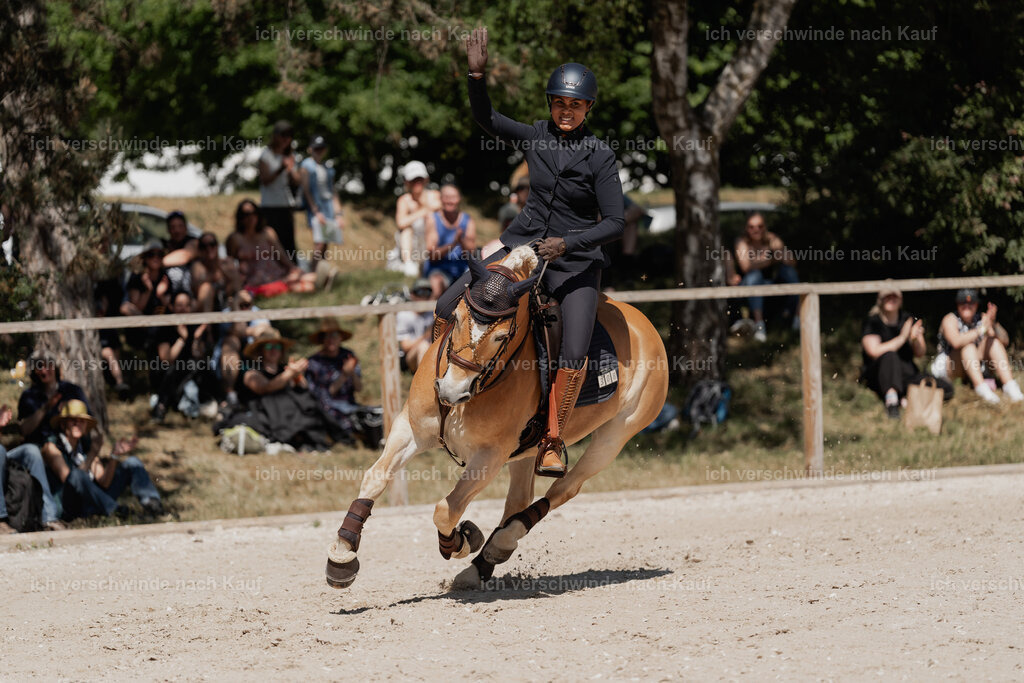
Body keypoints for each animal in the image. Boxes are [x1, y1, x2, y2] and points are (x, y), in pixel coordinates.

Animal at [326, 245, 668, 589]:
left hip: (613, 438)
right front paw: (342, 555)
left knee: (562, 490)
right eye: (456, 317)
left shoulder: (490, 456)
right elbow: (375, 477)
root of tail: (644, 324)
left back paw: (501, 542)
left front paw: (462, 540)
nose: (450, 391)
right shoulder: (410, 429)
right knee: (519, 499)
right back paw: (485, 561)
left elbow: (446, 510)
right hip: (527, 451)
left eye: (501, 337)